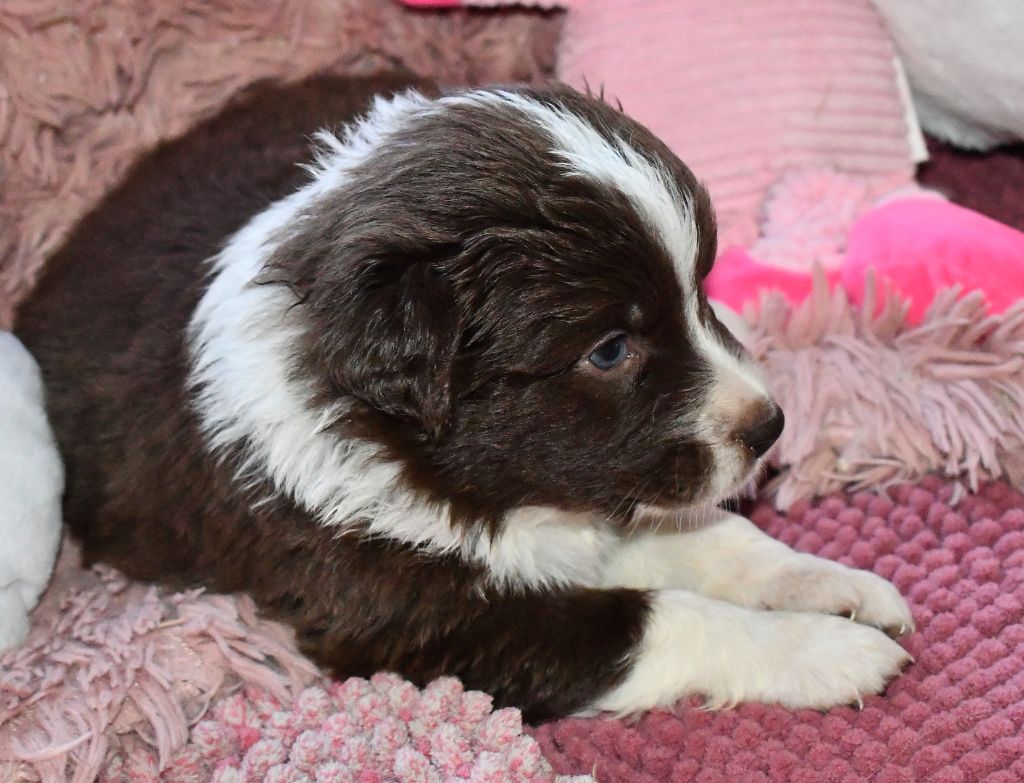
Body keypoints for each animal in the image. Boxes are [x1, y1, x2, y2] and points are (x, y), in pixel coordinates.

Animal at [14, 73, 913, 721]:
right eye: (609, 350)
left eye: (702, 288)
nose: (770, 427)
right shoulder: (412, 616)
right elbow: (662, 617)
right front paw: (825, 652)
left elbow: (722, 540)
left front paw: (834, 585)